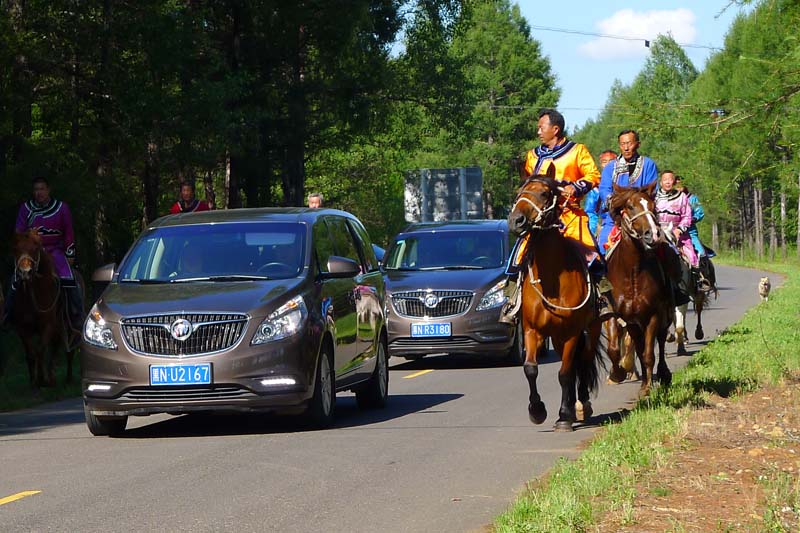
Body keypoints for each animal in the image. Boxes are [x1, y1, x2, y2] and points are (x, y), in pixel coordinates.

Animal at [10, 229, 77, 386]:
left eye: (35, 248)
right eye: (15, 249)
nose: (25, 272)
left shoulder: (47, 326)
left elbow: (40, 351)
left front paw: (41, 379)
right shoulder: (22, 328)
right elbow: (31, 354)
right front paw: (34, 381)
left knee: (68, 351)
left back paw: (67, 379)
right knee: (55, 349)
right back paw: (51, 378)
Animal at [510, 166, 604, 432]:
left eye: (544, 193)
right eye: (520, 191)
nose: (516, 221)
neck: (552, 278)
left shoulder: (572, 332)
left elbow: (565, 373)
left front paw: (563, 416)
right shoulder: (532, 330)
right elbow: (530, 369)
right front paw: (537, 410)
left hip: (590, 330)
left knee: (581, 362)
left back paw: (580, 406)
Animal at [604, 183, 680, 394]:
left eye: (653, 207)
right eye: (630, 207)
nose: (652, 234)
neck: (632, 275)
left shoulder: (653, 315)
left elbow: (648, 353)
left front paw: (647, 389)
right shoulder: (621, 316)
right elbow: (615, 349)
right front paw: (618, 374)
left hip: (664, 314)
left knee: (660, 341)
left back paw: (663, 373)